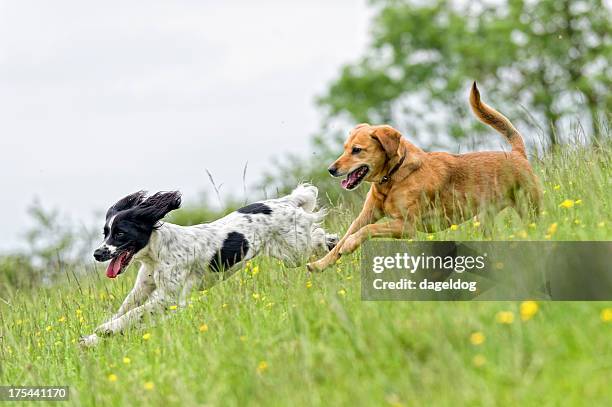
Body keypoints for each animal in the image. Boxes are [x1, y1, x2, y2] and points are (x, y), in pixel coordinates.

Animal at [79, 185, 338, 348]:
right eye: (105, 233)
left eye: (120, 234)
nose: (97, 253)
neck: (156, 252)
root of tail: (287, 202)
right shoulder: (144, 287)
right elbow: (127, 308)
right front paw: (92, 339)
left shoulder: (169, 297)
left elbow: (134, 313)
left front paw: (107, 330)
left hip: (294, 251)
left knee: (317, 237)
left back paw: (332, 245)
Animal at [308, 82, 544, 274]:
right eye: (345, 148)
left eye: (357, 150)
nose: (331, 169)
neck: (392, 178)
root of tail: (517, 153)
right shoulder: (366, 215)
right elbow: (344, 238)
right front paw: (320, 264)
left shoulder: (406, 226)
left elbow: (366, 231)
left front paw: (350, 245)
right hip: (484, 218)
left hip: (529, 207)